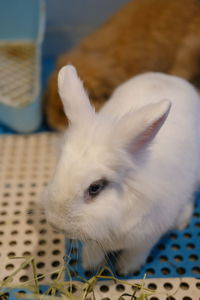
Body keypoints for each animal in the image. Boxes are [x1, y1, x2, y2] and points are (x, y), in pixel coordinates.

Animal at [43, 65, 200, 274]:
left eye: (95, 187)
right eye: (59, 166)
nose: (56, 224)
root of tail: (169, 78)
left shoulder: (147, 237)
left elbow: (136, 253)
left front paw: (126, 269)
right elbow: (93, 248)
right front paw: (90, 264)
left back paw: (181, 222)